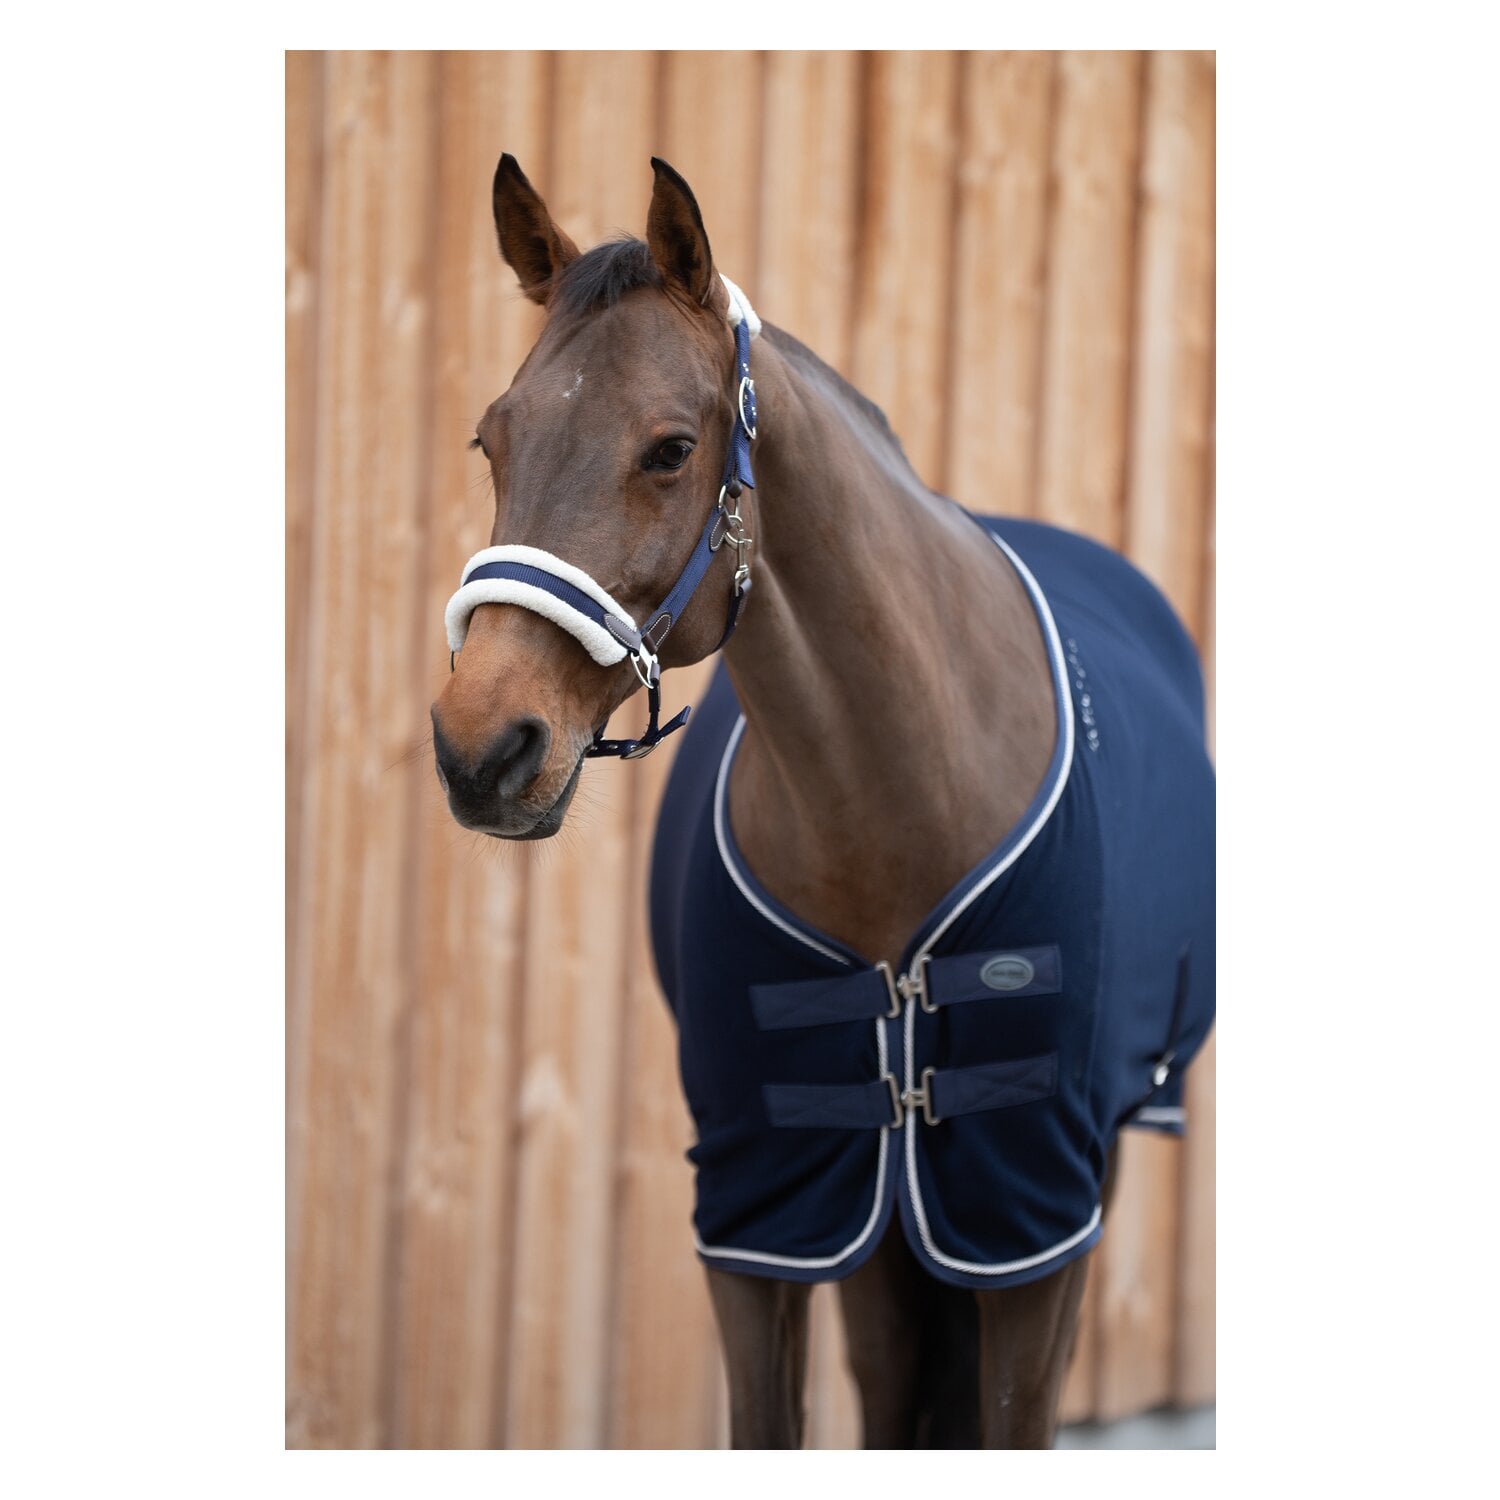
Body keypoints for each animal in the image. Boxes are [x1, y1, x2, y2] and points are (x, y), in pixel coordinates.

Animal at [432, 154, 1215, 1449]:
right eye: (492, 439)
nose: (481, 747)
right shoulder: (767, 1203)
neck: (893, 809)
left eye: (669, 447)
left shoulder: (1030, 1211)